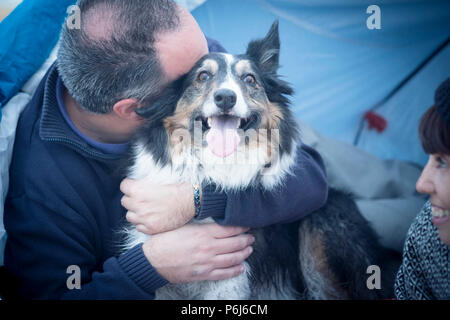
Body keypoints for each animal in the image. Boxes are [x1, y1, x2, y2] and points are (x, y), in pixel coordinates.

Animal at [121, 21, 400, 298]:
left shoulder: (228, 276)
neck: (215, 167)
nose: (225, 97)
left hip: (325, 224)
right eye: (202, 76)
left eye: (249, 79)